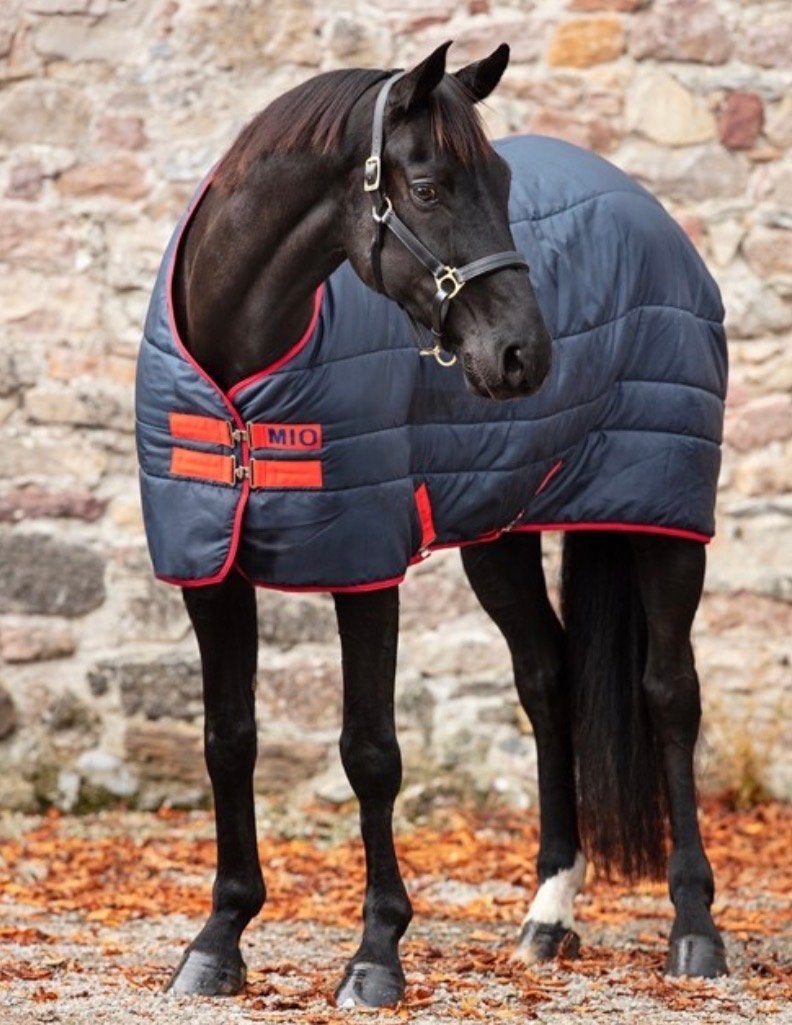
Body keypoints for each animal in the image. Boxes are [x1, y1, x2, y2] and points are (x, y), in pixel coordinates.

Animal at [135, 42, 728, 1008]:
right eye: (426, 187)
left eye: (503, 180)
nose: (526, 354)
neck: (242, 369)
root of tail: (650, 212)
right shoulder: (208, 570)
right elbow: (228, 740)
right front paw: (218, 939)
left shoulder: (364, 560)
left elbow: (371, 751)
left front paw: (376, 953)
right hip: (500, 530)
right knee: (548, 679)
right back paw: (548, 915)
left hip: (664, 515)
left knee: (671, 692)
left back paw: (696, 928)